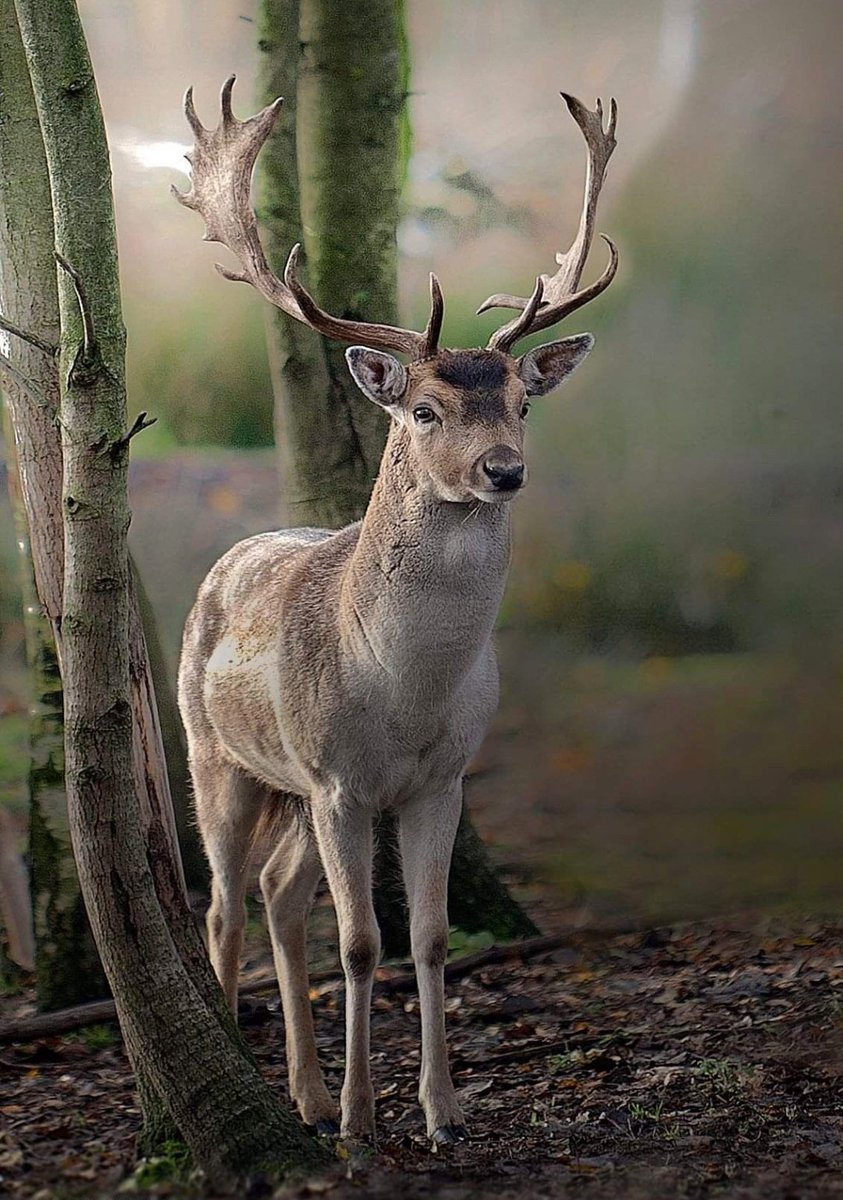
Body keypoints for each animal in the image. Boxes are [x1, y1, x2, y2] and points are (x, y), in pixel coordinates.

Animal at [174, 76, 617, 1147]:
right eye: (423, 410)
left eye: (522, 405)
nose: (503, 470)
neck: (406, 691)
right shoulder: (339, 780)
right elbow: (360, 944)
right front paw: (359, 1120)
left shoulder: (440, 778)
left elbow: (427, 937)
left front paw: (440, 1109)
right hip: (216, 754)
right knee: (225, 906)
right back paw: (260, 1077)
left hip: (291, 787)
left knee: (277, 894)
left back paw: (296, 1091)